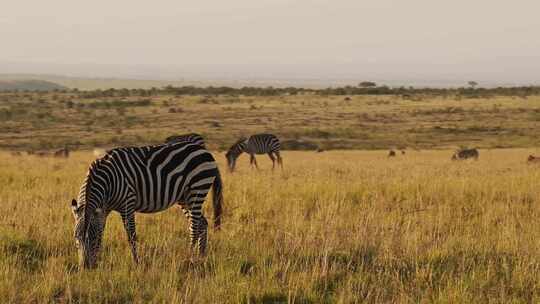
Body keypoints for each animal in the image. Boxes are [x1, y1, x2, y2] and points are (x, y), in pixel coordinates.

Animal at [70, 141, 224, 268]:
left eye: (92, 238)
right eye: (76, 238)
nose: (85, 267)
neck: (107, 182)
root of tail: (205, 151)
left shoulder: (128, 204)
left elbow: (131, 236)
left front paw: (136, 262)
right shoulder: (103, 210)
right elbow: (103, 231)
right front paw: (98, 259)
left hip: (197, 189)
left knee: (194, 227)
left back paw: (189, 258)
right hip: (185, 198)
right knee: (202, 223)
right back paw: (201, 257)